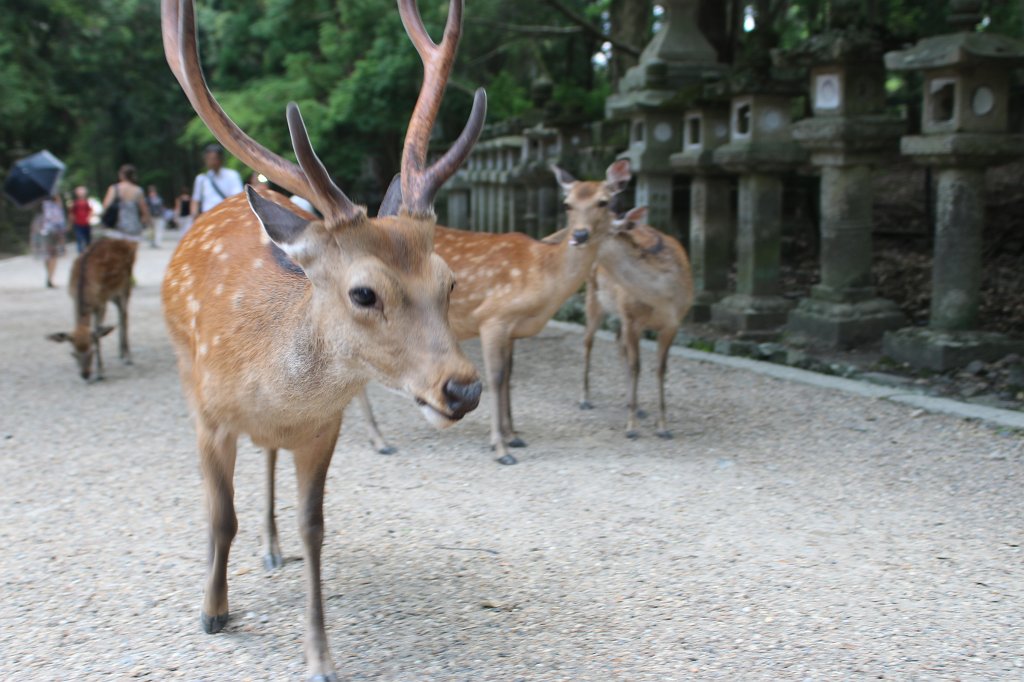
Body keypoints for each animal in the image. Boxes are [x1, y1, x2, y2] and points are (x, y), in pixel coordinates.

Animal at [47, 237, 137, 378]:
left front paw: (100, 372)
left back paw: (128, 357)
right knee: (120, 314)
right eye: (73, 354)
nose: (85, 374)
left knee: (124, 315)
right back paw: (120, 353)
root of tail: (127, 241)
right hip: (113, 294)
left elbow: (98, 334)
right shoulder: (73, 300)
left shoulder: (101, 304)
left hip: (126, 285)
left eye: (92, 351)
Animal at [160, 2, 487, 675]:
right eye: (364, 293)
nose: (463, 389)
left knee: (268, 458)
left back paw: (272, 546)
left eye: (448, 281)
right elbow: (220, 516)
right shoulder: (209, 414)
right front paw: (213, 611)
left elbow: (315, 528)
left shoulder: (322, 427)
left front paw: (320, 657)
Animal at [581, 204, 692, 436]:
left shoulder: (673, 324)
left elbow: (660, 369)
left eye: (596, 228)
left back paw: (636, 406)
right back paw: (585, 399)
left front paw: (663, 427)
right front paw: (631, 427)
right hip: (594, 296)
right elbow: (636, 366)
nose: (576, 238)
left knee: (617, 340)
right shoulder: (632, 320)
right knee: (588, 340)